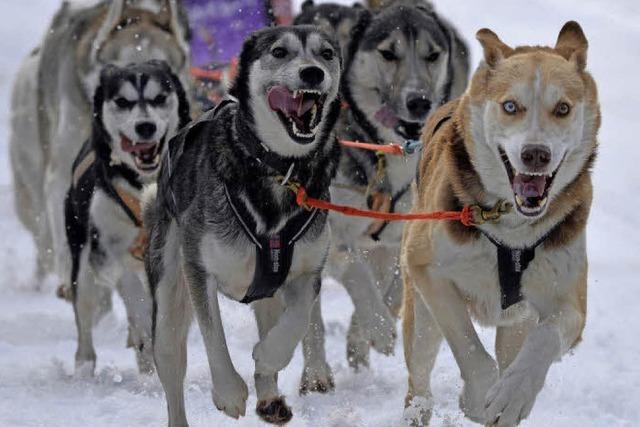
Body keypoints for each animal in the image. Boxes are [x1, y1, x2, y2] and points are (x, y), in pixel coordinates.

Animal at [65, 61, 190, 378]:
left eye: (160, 98)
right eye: (122, 101)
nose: (145, 126)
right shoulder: (110, 251)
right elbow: (134, 295)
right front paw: (145, 325)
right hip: (83, 263)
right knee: (85, 313)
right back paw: (85, 365)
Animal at [144, 25, 342, 424]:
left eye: (327, 53)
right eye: (280, 52)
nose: (313, 73)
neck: (281, 171)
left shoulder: (307, 272)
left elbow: (296, 323)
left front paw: (268, 357)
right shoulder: (198, 268)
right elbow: (213, 335)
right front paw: (229, 393)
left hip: (268, 293)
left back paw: (270, 397)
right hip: (168, 295)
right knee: (172, 366)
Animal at [300, 0, 470, 394]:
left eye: (433, 55)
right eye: (388, 53)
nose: (419, 101)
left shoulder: (400, 234)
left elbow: (393, 293)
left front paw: (365, 336)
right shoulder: (333, 232)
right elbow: (357, 276)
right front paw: (379, 328)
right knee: (309, 317)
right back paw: (315, 373)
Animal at [402, 21, 596, 426]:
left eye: (563, 108)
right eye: (510, 106)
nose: (536, 154)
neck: (513, 229)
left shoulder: (570, 305)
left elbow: (544, 339)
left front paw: (513, 394)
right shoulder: (427, 268)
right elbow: (468, 345)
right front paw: (478, 397)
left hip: (515, 324)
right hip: (421, 318)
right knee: (420, 379)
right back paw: (419, 410)